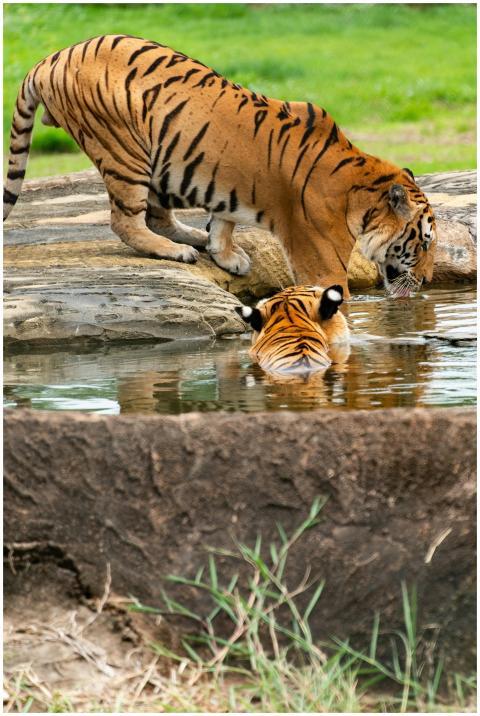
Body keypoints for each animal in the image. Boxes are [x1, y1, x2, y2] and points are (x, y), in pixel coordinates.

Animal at [4, 34, 436, 298]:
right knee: (126, 221)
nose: (429, 279)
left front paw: (225, 254)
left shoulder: (226, 181)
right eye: (425, 242)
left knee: (158, 215)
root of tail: (48, 59)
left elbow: (224, 219)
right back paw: (175, 251)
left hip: (158, 160)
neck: (359, 190)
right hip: (123, 151)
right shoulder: (322, 262)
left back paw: (192, 238)